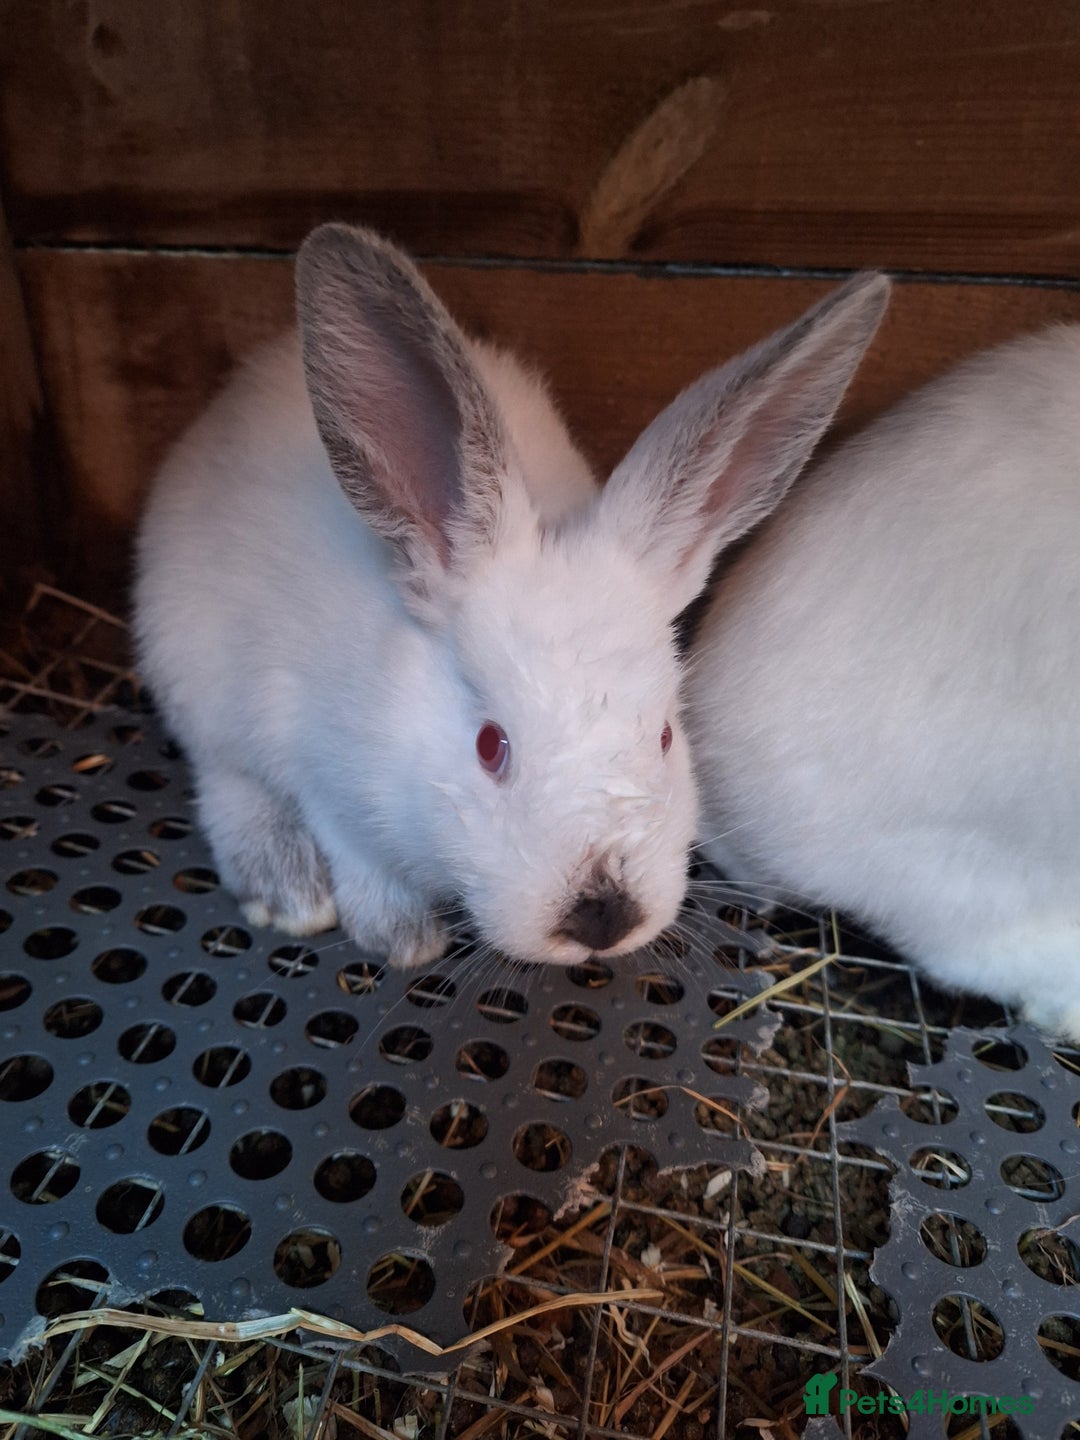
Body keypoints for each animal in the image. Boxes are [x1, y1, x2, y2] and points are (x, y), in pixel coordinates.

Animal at [134, 222, 888, 970]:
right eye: (490, 745)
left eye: (666, 736)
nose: (603, 915)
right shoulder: (315, 764)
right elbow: (357, 857)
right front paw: (402, 937)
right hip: (190, 664)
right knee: (222, 775)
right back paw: (285, 889)